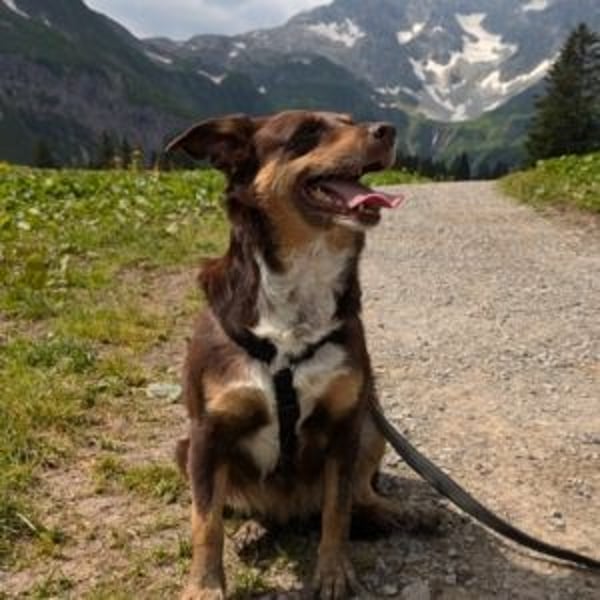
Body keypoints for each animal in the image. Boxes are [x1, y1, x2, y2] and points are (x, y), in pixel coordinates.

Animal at [167, 110, 435, 600]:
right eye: (307, 132)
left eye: (351, 119)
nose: (386, 130)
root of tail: (290, 510)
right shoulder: (208, 430)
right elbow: (206, 522)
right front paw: (204, 587)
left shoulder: (344, 422)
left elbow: (337, 511)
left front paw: (333, 573)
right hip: (184, 448)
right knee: (240, 505)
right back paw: (253, 528)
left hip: (373, 425)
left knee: (358, 496)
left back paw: (401, 512)